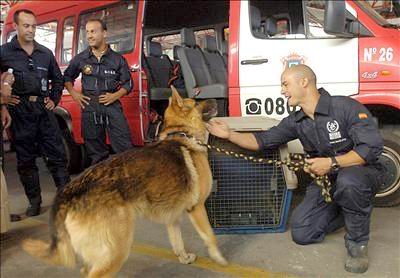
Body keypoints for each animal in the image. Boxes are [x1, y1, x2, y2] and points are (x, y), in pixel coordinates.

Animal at [22, 86, 228, 276]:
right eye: (196, 102)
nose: (218, 99)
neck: (182, 134)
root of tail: (69, 191)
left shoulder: (173, 216)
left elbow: (177, 242)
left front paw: (184, 258)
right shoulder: (197, 208)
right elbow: (210, 237)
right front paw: (219, 259)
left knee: (84, 271)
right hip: (117, 250)